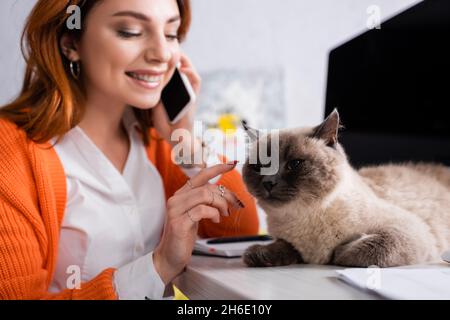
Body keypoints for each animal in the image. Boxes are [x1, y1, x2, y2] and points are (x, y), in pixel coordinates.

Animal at [241, 110, 450, 268]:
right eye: (258, 167)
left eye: (295, 164)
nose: (268, 183)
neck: (303, 218)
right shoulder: (292, 243)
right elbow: (283, 246)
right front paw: (257, 253)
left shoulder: (409, 230)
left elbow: (357, 250)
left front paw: (338, 253)